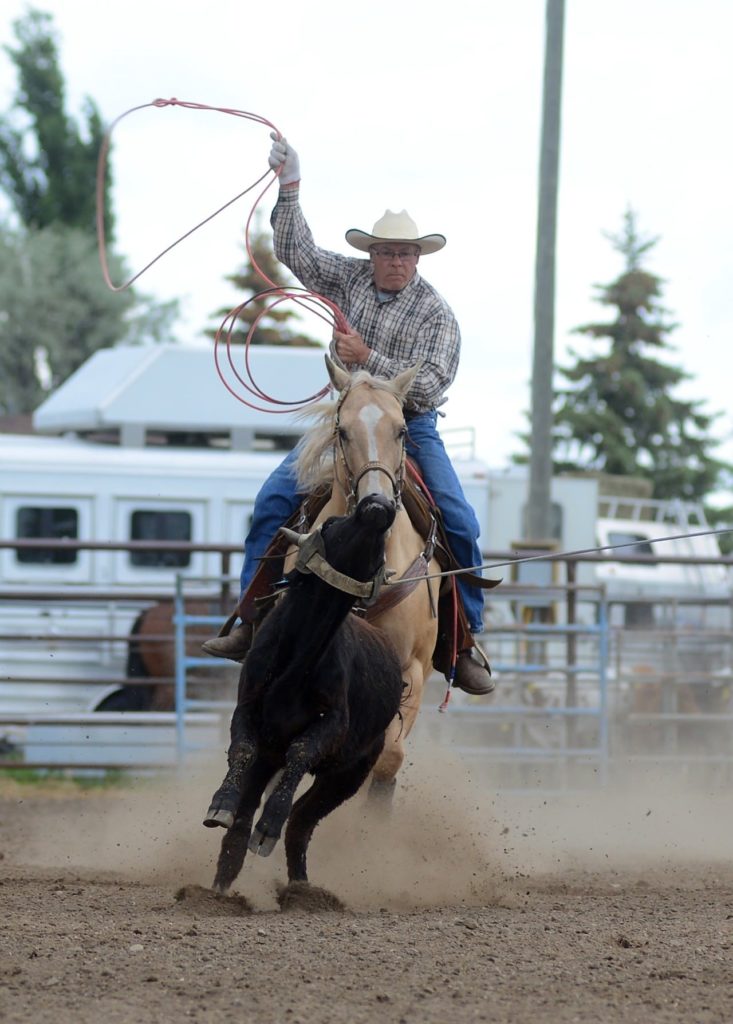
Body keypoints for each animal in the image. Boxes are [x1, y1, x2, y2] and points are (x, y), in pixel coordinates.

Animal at [203, 493, 403, 888]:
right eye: (332, 523)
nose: (379, 500)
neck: (300, 653)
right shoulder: (248, 709)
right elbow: (242, 750)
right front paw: (220, 805)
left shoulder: (335, 723)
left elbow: (301, 751)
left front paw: (269, 827)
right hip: (273, 760)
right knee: (245, 820)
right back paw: (221, 885)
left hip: (350, 773)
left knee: (301, 822)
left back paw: (299, 886)